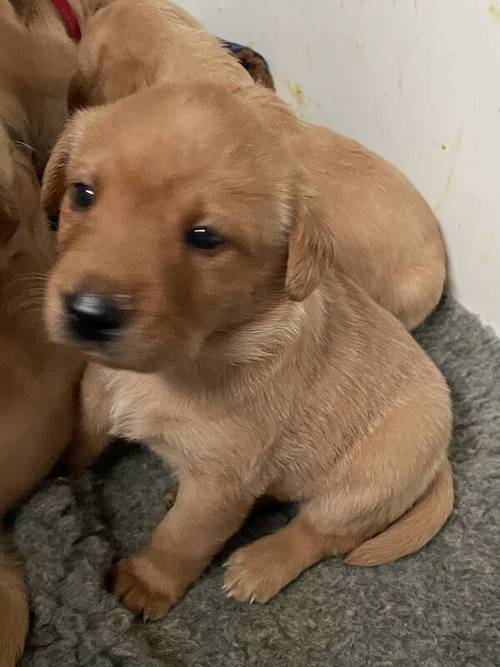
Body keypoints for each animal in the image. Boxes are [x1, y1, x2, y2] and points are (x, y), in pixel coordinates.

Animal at [40, 83, 454, 620]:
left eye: (205, 237)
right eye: (82, 193)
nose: (88, 313)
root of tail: (441, 457)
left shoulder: (221, 480)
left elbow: (181, 539)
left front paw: (146, 583)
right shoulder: (98, 392)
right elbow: (83, 438)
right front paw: (58, 473)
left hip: (369, 480)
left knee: (319, 534)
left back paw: (260, 565)